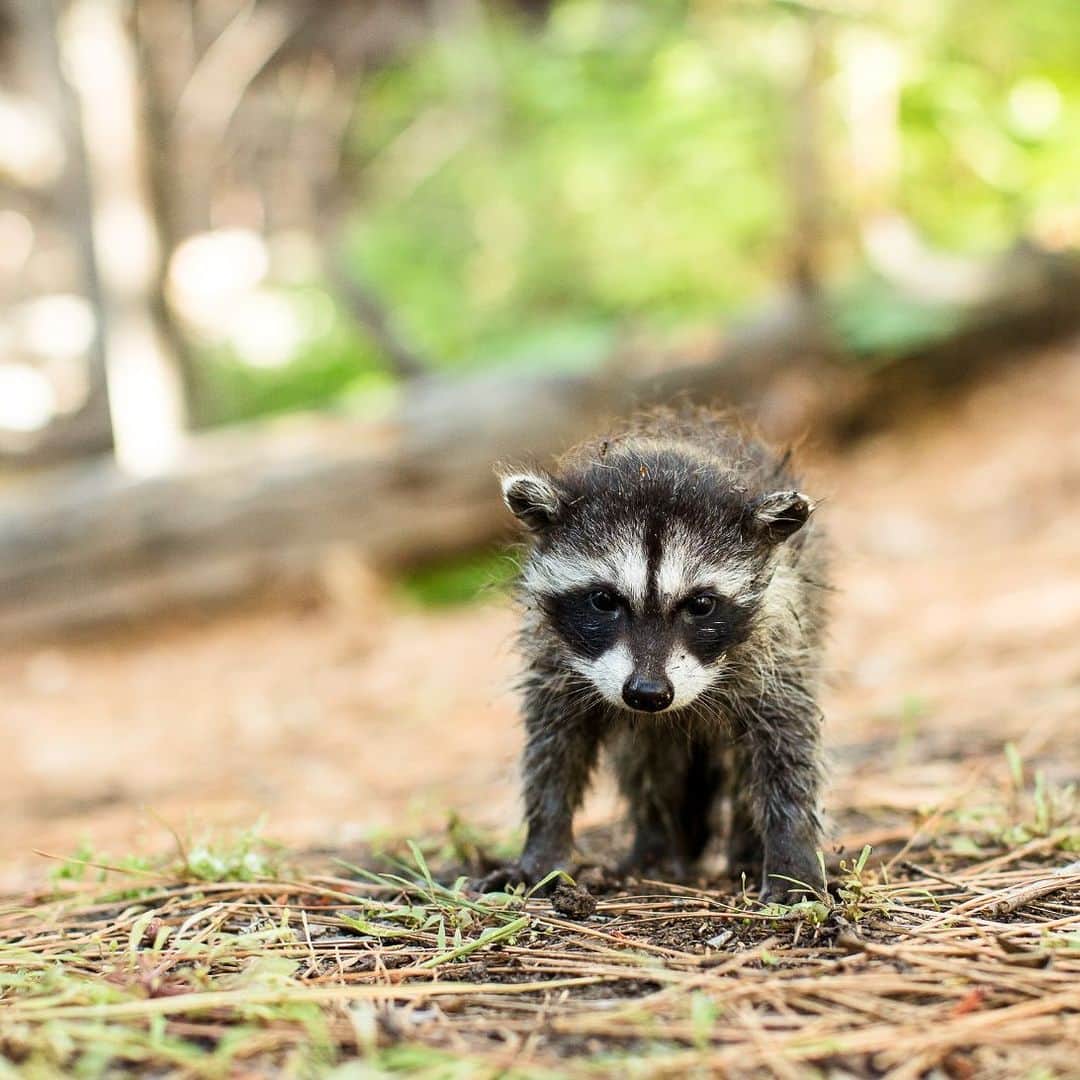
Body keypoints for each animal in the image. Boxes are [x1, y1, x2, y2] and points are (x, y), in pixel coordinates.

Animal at [498, 409, 829, 900]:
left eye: (701, 604)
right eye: (603, 600)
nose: (648, 693)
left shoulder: (779, 645)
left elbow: (786, 744)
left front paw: (792, 852)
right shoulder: (554, 658)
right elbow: (555, 748)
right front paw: (543, 845)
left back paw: (746, 848)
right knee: (647, 762)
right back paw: (654, 846)